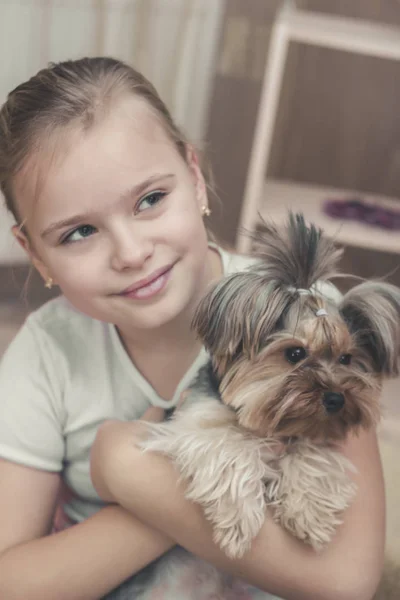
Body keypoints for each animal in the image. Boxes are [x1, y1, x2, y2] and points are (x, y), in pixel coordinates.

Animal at [141, 213, 400, 560]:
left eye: (346, 359)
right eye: (295, 354)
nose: (335, 398)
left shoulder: (311, 435)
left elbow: (313, 456)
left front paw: (310, 514)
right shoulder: (189, 427)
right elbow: (230, 446)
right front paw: (238, 523)